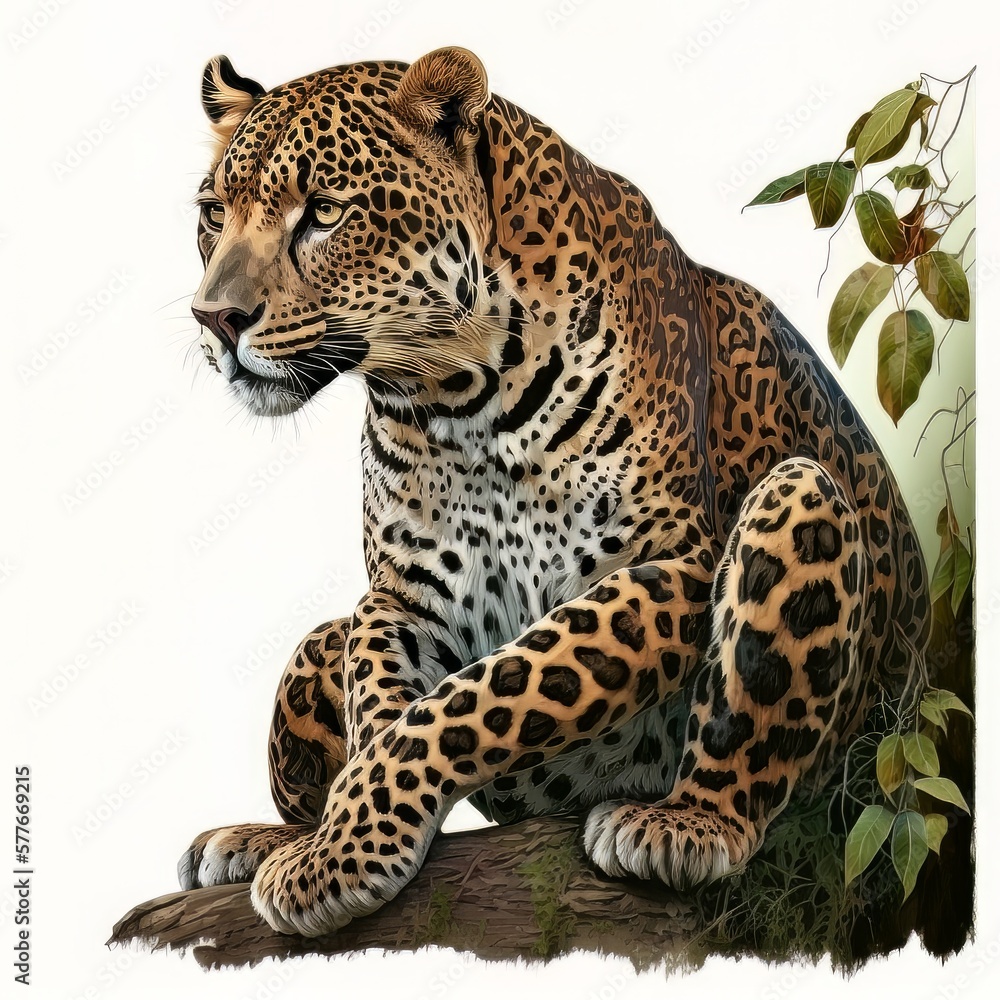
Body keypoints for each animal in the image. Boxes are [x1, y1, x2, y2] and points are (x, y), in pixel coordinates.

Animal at [179, 46, 930, 938]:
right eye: (212, 214)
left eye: (324, 212)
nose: (214, 319)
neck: (454, 402)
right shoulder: (403, 598)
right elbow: (386, 702)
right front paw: (343, 840)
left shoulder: (674, 566)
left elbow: (478, 697)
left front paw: (335, 858)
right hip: (312, 650)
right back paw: (259, 838)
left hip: (802, 505)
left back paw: (685, 823)